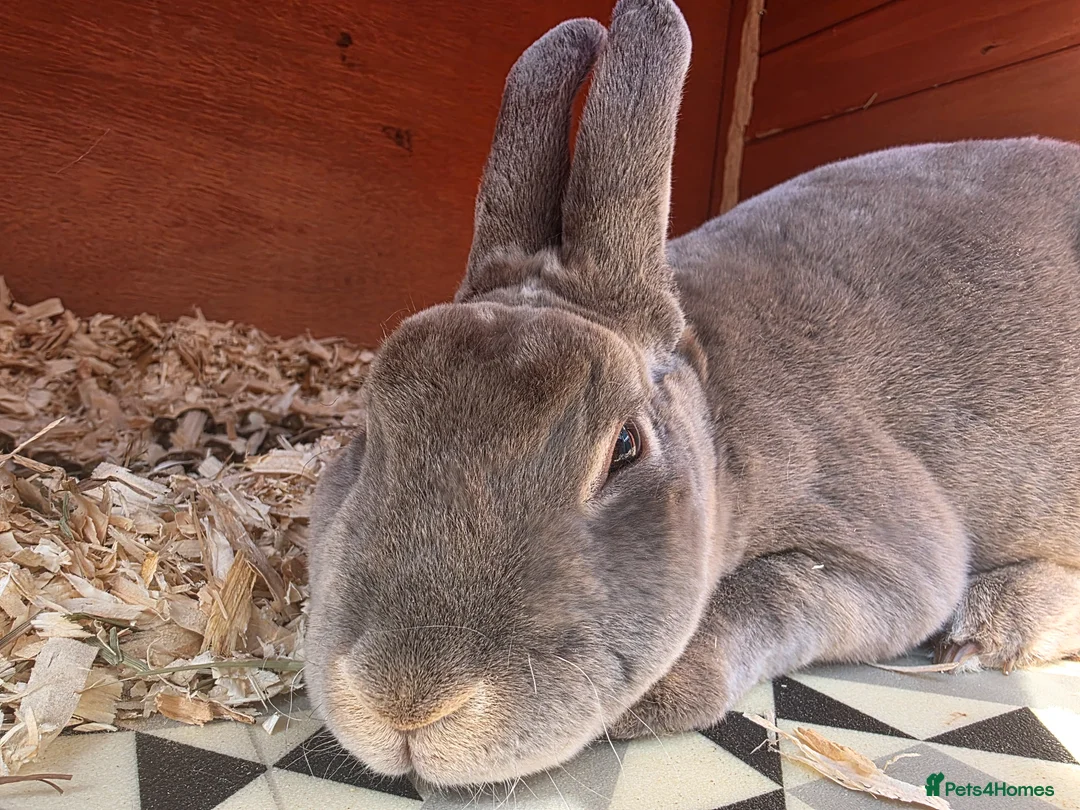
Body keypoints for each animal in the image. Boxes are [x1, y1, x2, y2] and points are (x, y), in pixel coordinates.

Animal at [303, 0, 1080, 789]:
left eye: (624, 447)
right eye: (369, 427)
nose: (405, 705)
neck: (715, 420)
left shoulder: (889, 558)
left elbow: (773, 594)